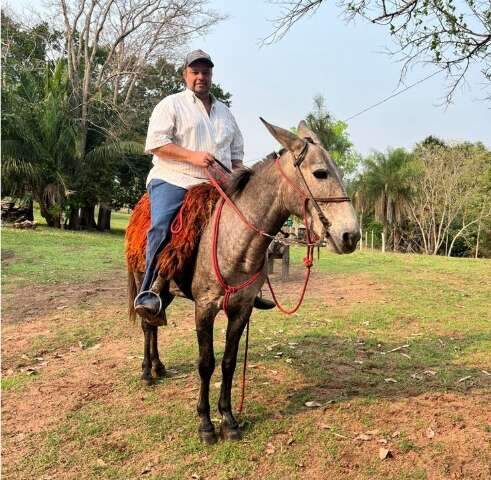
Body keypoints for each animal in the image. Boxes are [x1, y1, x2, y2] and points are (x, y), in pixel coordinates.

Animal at [127, 118, 360, 444]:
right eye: (320, 173)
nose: (351, 235)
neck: (234, 240)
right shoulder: (205, 308)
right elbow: (206, 363)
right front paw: (205, 424)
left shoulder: (242, 308)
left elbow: (228, 362)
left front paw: (229, 419)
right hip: (143, 279)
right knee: (148, 323)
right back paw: (148, 372)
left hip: (169, 292)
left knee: (155, 323)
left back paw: (159, 366)